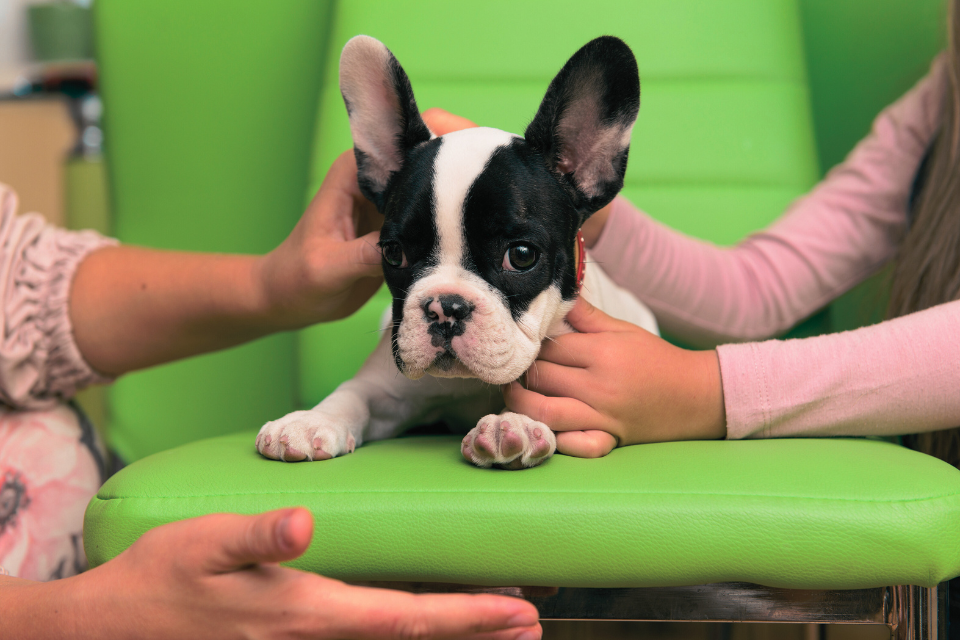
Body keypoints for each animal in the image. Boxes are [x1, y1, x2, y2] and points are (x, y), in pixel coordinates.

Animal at [255, 33, 660, 470]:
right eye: (393, 253)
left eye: (521, 255)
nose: (445, 308)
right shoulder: (386, 387)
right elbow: (353, 393)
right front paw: (310, 420)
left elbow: (539, 401)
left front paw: (512, 423)